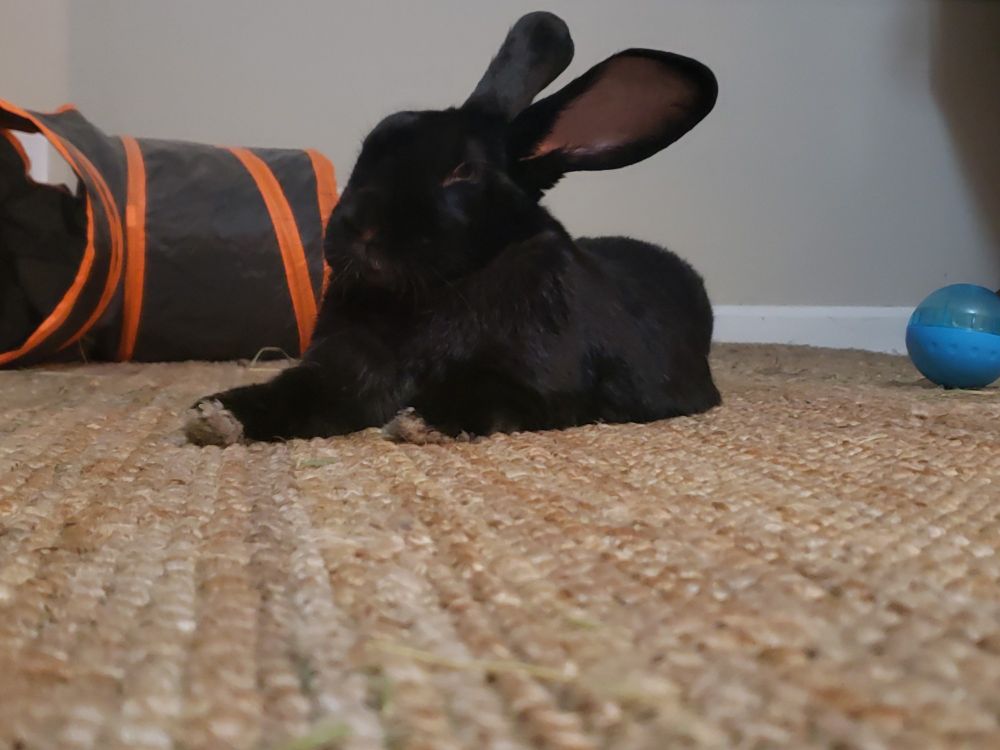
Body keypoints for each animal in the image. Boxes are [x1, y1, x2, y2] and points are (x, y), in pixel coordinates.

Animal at [184, 11, 721, 447]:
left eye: (463, 171)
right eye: (370, 145)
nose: (359, 229)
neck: (435, 289)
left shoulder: (533, 377)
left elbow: (487, 393)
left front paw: (422, 421)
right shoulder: (339, 372)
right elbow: (297, 393)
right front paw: (215, 416)